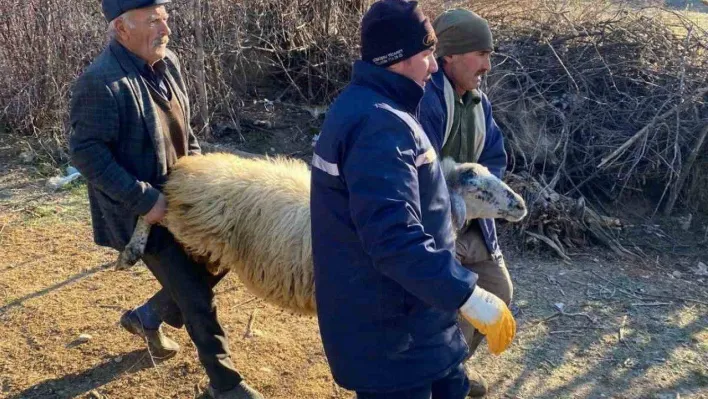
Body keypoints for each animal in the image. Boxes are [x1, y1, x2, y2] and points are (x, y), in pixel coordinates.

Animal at [116, 153, 524, 316]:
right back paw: (131, 249)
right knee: (158, 207)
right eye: (478, 187)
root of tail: (190, 166)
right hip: (191, 218)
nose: (521, 204)